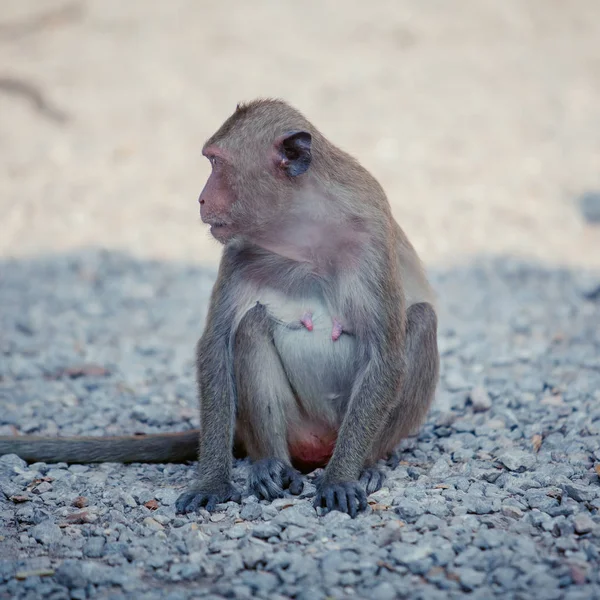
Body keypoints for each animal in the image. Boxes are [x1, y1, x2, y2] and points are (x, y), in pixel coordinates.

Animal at [0, 98, 440, 516]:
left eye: (217, 163)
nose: (200, 198)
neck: (303, 232)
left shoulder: (370, 239)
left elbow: (384, 356)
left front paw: (342, 479)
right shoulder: (240, 251)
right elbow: (215, 344)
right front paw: (212, 481)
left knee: (420, 320)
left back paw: (364, 465)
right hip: (287, 430)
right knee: (252, 325)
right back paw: (271, 466)